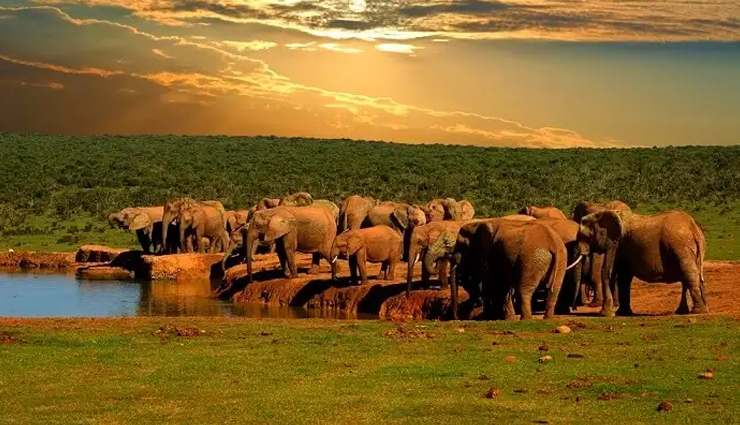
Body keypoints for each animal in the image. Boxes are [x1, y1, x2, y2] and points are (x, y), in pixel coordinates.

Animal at [576, 209, 707, 316]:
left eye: (585, 237)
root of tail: (694, 230)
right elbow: (624, 277)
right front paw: (623, 313)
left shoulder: (614, 243)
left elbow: (607, 272)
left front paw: (605, 314)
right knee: (692, 275)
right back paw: (687, 311)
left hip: (681, 246)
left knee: (689, 274)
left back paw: (697, 311)